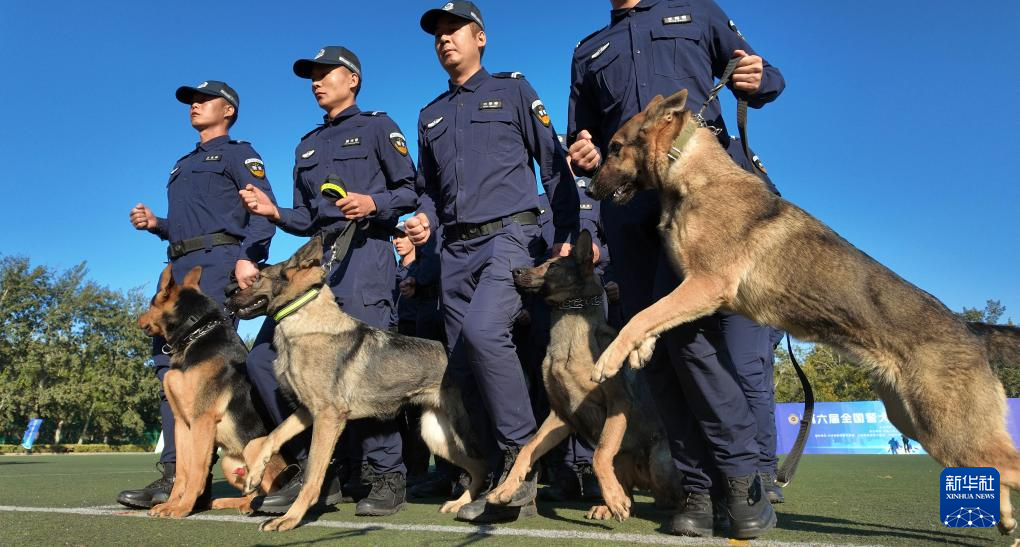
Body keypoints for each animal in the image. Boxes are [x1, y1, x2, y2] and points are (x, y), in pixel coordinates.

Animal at [135, 265, 287, 516]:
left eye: (150, 304)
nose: (137, 319)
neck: (195, 334)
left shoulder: (202, 420)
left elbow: (196, 470)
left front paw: (183, 508)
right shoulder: (182, 423)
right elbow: (182, 472)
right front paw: (170, 504)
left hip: (254, 449)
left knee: (269, 489)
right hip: (229, 461)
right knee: (251, 491)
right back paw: (229, 503)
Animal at [225, 236, 487, 530]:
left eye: (257, 277)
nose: (227, 293)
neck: (304, 315)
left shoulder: (328, 417)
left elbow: (313, 473)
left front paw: (291, 518)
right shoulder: (308, 412)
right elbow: (273, 436)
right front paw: (254, 475)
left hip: (460, 432)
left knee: (487, 463)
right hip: (438, 437)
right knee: (478, 468)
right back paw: (460, 503)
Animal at [483, 230, 681, 520]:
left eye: (553, 266)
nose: (516, 270)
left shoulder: (618, 403)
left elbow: (600, 453)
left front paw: (613, 497)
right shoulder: (561, 415)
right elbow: (528, 449)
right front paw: (506, 488)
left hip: (661, 461)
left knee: (671, 495)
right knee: (632, 494)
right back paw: (609, 505)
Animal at [587, 88, 1020, 534]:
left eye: (614, 147)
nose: (590, 186)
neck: (688, 166)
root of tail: (971, 330)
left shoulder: (705, 285)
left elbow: (642, 316)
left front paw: (609, 359)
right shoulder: (689, 288)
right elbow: (652, 316)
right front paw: (639, 351)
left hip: (949, 432)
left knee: (1010, 466)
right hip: (917, 424)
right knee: (997, 469)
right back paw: (1004, 520)